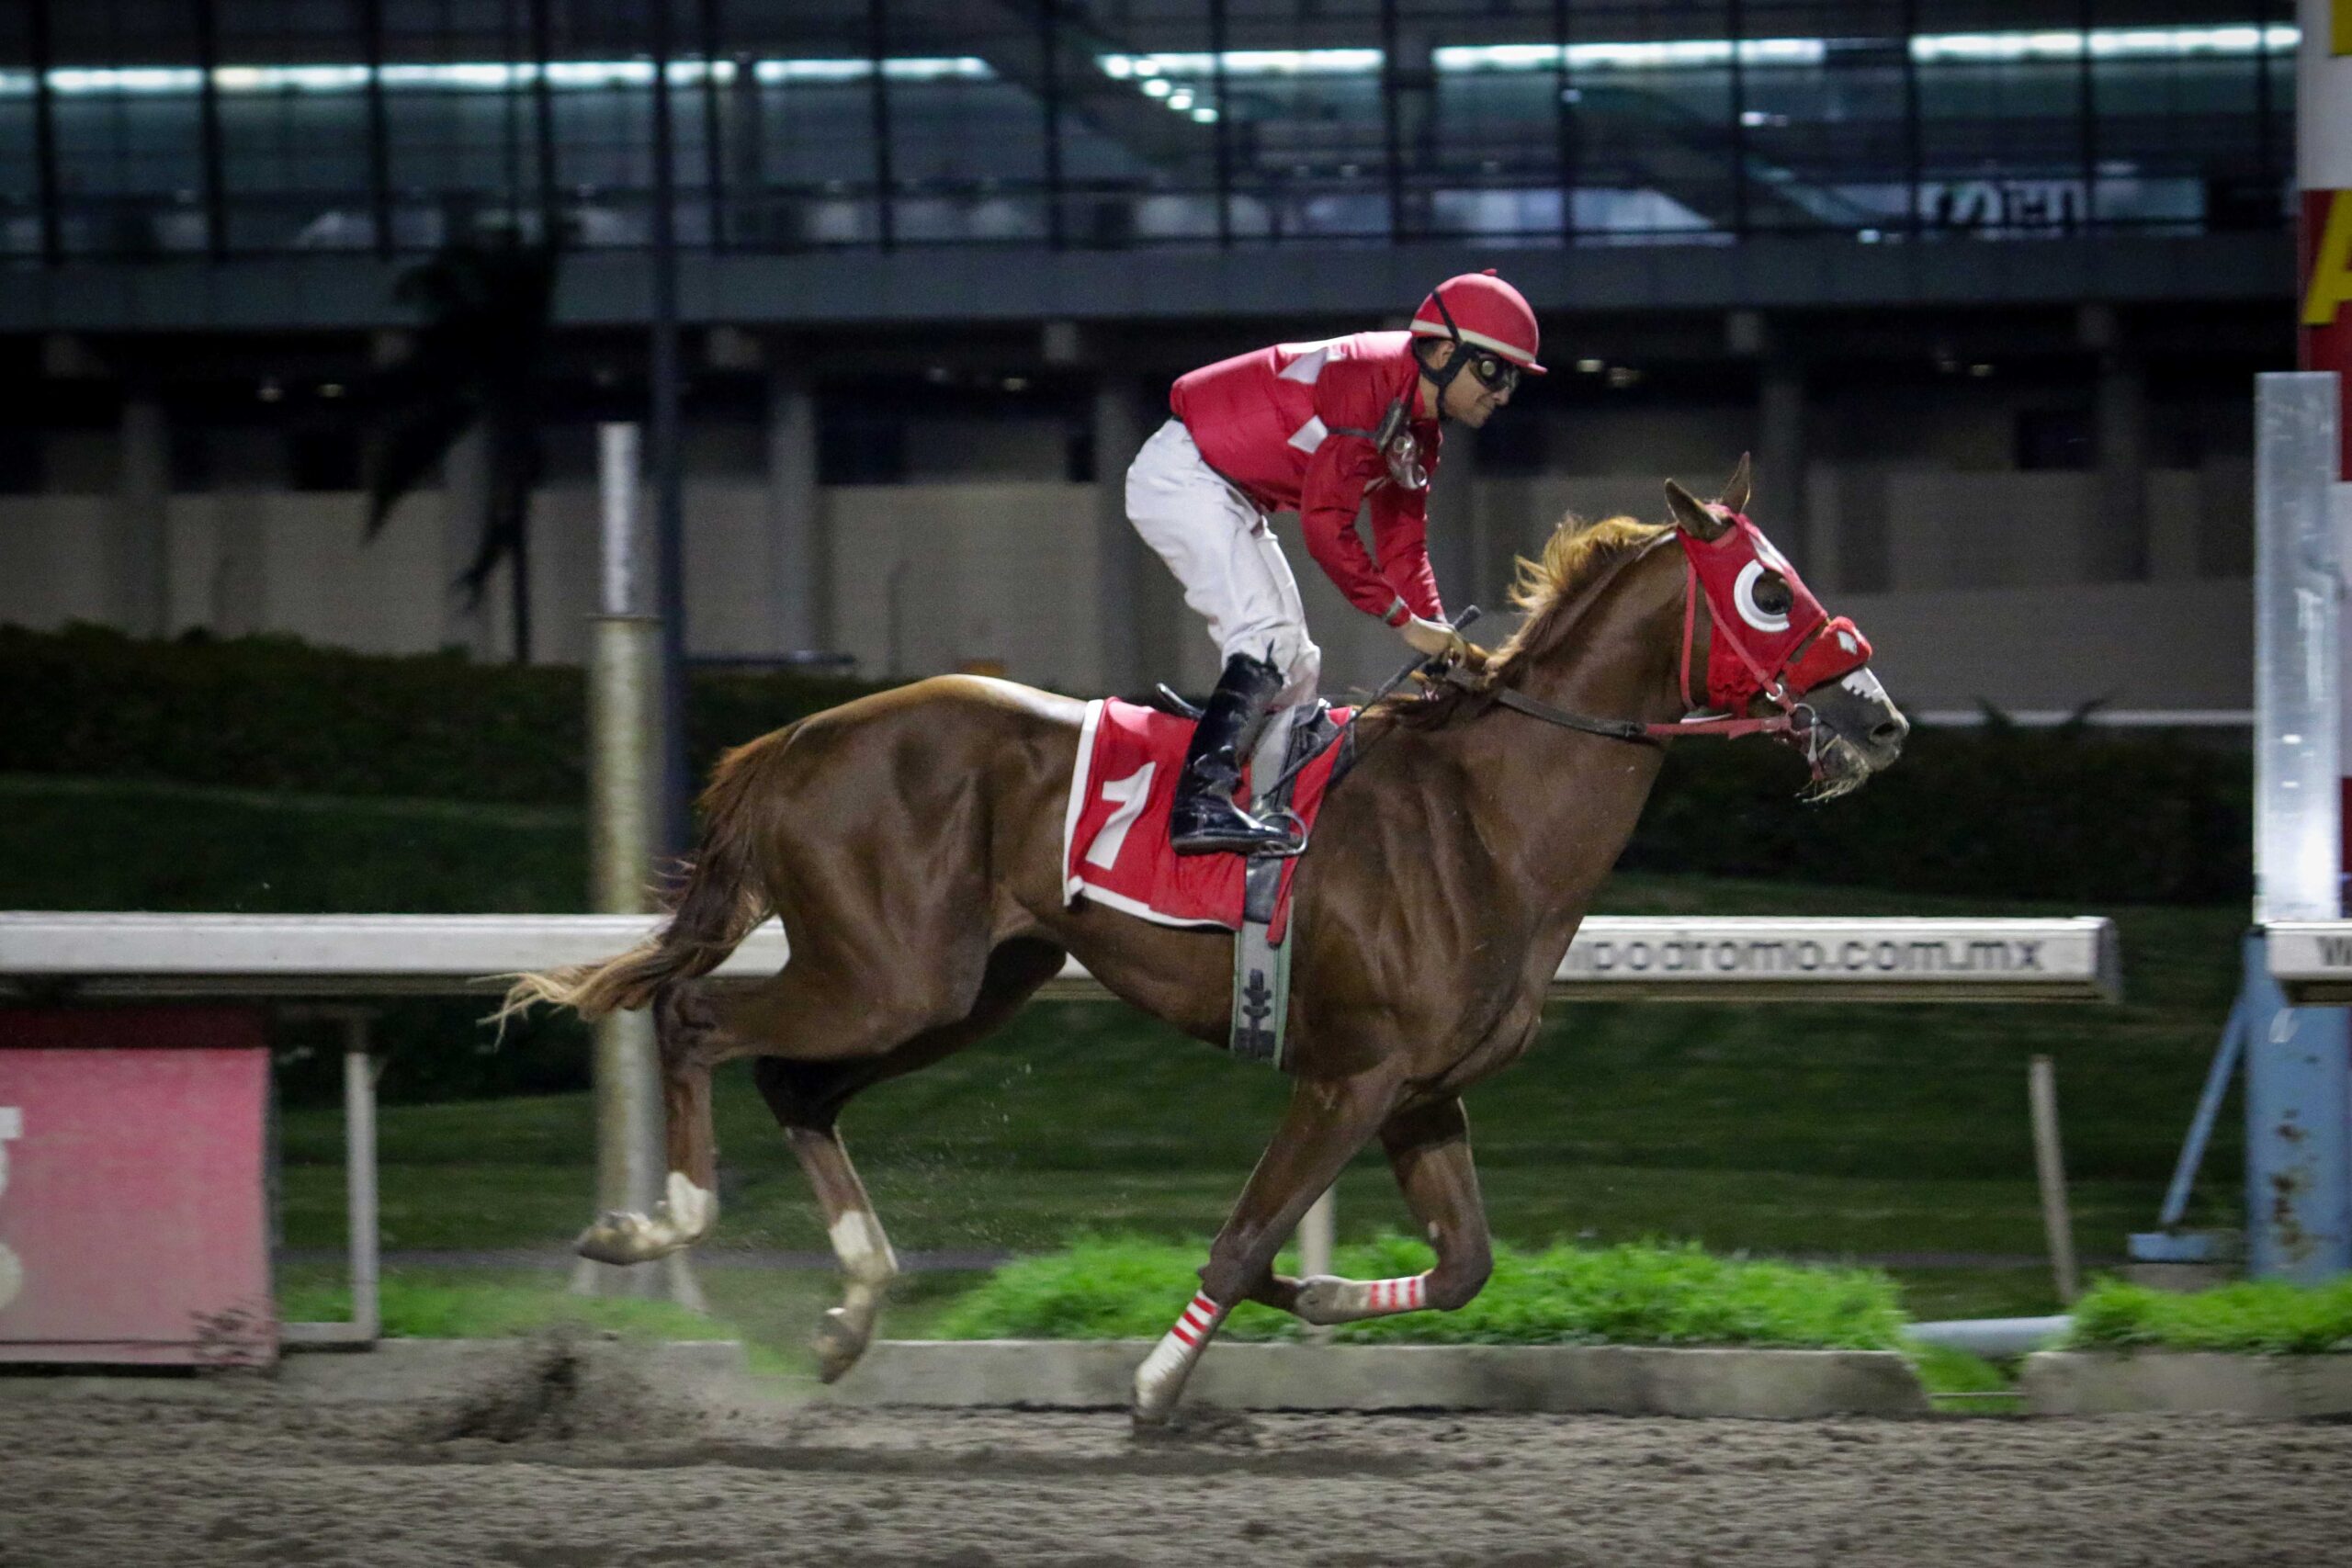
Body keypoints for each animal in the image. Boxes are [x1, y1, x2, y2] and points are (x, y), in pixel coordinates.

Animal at [501, 458, 1910, 1424]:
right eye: (1770, 588)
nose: (1881, 719)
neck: (1482, 816)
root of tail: (796, 737)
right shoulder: (1348, 1075)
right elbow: (1242, 1234)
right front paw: (1156, 1377)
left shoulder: (1423, 1093)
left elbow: (1461, 1265)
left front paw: (1317, 1298)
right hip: (885, 974)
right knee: (697, 1018)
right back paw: (654, 1226)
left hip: (962, 990)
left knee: (797, 1085)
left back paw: (850, 1306)